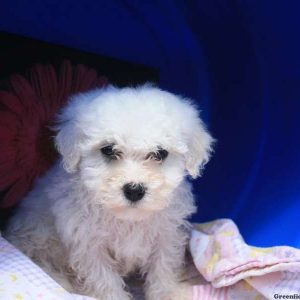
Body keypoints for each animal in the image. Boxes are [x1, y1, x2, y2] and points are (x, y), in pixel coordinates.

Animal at [2, 85, 213, 300]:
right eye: (108, 150)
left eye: (160, 153)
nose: (134, 190)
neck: (127, 218)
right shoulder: (89, 245)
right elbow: (104, 280)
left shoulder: (166, 236)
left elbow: (162, 270)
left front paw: (166, 294)